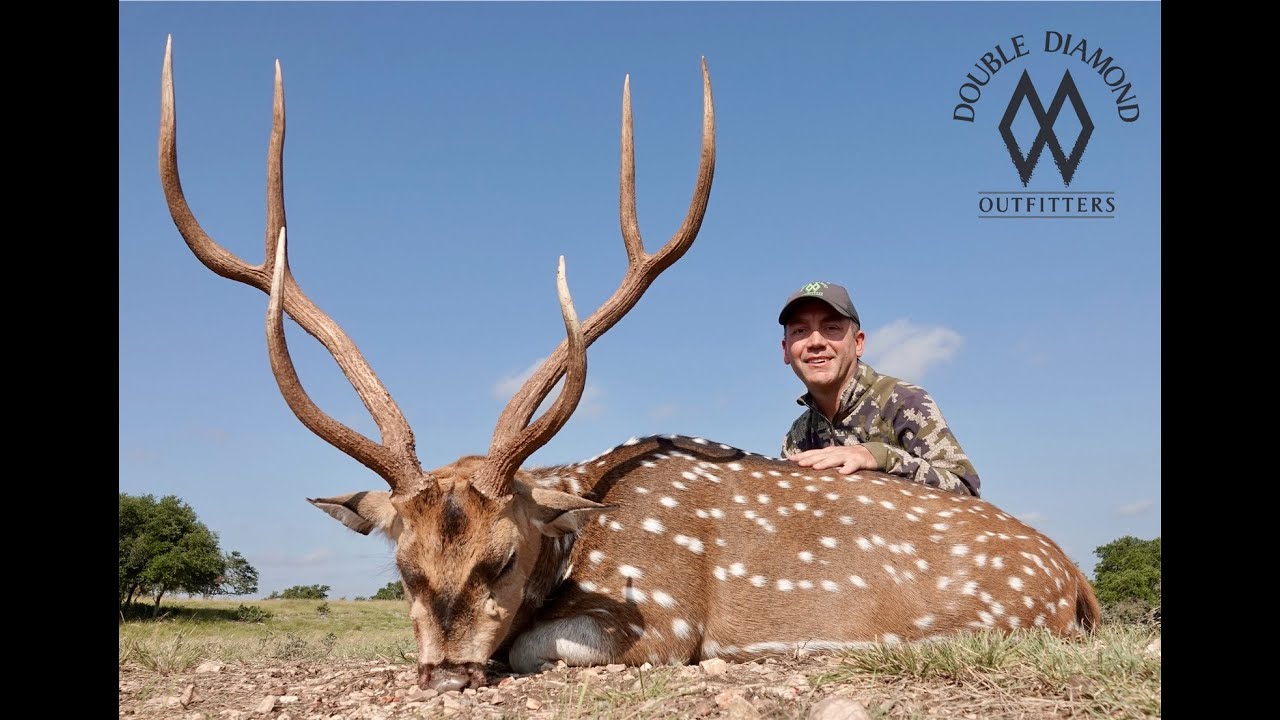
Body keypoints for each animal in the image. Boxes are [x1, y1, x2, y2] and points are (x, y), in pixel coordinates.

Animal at [158, 37, 1101, 693]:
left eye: (505, 557)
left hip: (1000, 614)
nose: (448, 674)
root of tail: (1076, 578)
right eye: (401, 567)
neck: (582, 529)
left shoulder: (663, 619)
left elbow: (535, 648)